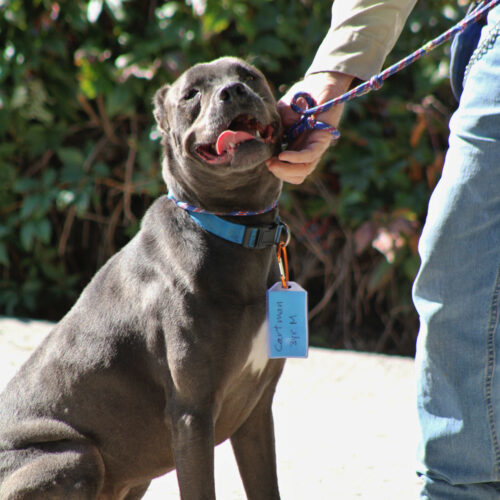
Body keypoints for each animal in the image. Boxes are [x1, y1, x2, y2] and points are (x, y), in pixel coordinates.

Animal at [0, 56, 288, 498]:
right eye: (190, 94)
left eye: (248, 75)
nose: (233, 91)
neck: (234, 228)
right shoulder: (192, 414)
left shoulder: (256, 412)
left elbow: (266, 485)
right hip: (73, 456)